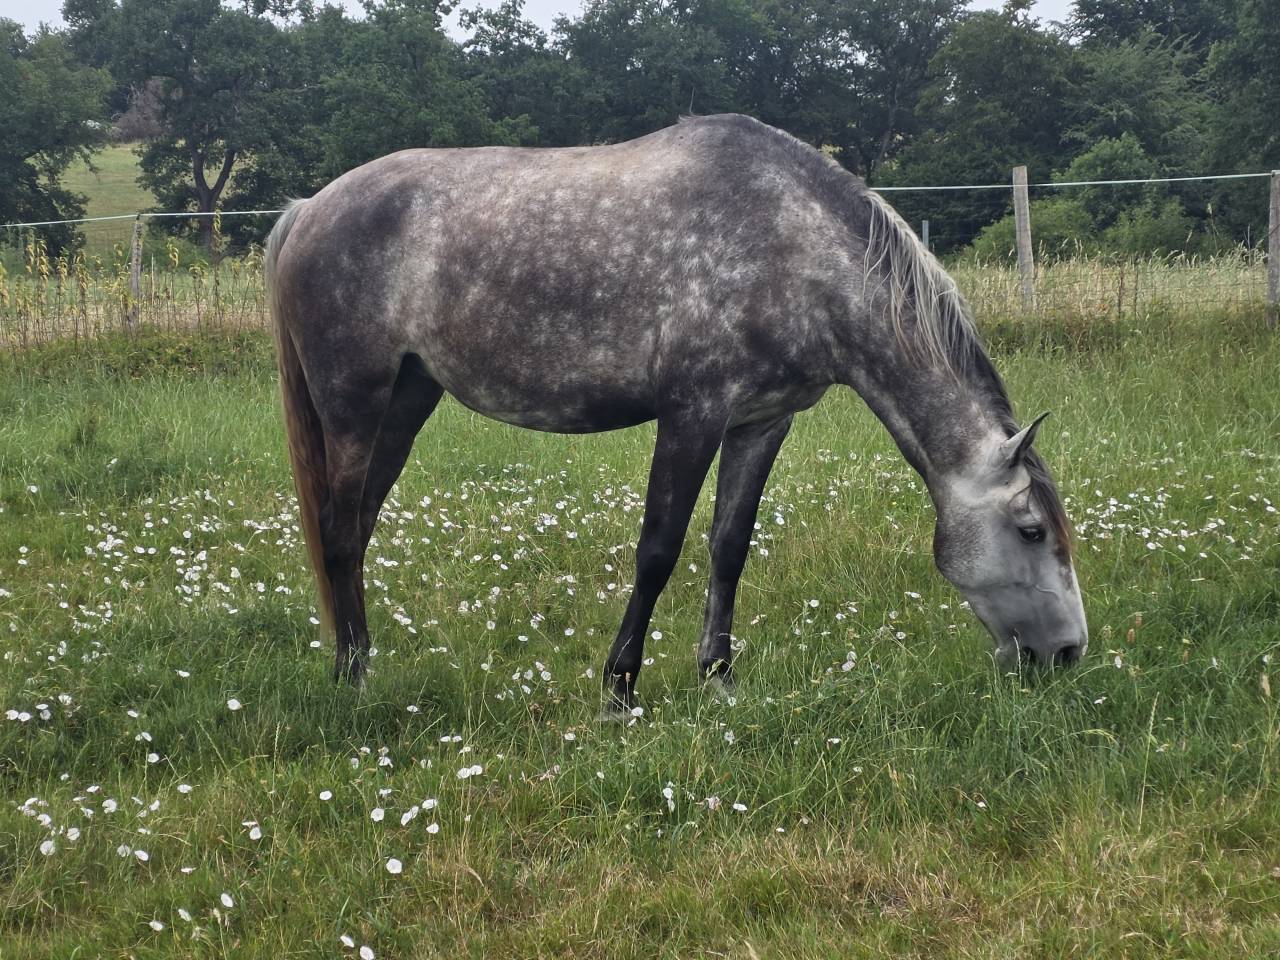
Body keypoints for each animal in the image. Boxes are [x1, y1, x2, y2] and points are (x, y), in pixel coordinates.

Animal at [265, 114, 1087, 711]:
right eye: (1032, 530)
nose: (1069, 654)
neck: (792, 247)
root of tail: (307, 209)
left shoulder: (761, 422)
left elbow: (729, 547)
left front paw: (718, 677)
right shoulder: (692, 414)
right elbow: (657, 551)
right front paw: (620, 689)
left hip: (407, 399)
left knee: (357, 526)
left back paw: (358, 659)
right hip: (354, 404)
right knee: (340, 529)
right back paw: (353, 676)